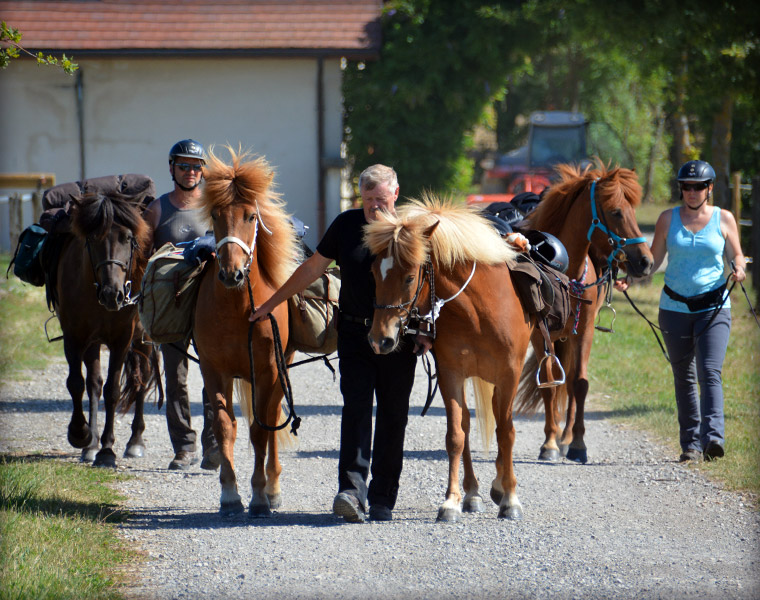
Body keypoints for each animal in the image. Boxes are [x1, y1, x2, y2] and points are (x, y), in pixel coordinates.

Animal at [55, 190, 157, 466]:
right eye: (92, 238)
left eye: (129, 238)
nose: (114, 294)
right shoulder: (75, 338)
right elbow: (78, 383)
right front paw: (81, 434)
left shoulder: (122, 339)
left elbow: (113, 390)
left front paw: (107, 450)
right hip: (93, 343)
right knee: (94, 384)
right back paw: (90, 444)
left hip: (142, 338)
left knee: (142, 378)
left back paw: (136, 441)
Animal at [193, 146, 300, 516]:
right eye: (215, 214)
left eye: (251, 216)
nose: (231, 273)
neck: (238, 310)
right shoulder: (214, 371)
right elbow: (226, 428)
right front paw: (230, 494)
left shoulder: (267, 371)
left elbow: (260, 431)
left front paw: (259, 495)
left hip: (279, 372)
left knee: (272, 417)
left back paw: (274, 487)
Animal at [366, 197, 536, 520]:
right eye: (374, 273)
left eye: (410, 277)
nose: (379, 340)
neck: (478, 311)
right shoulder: (450, 373)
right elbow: (456, 435)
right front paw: (452, 500)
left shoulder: (510, 373)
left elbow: (506, 432)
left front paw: (511, 499)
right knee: (470, 425)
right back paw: (473, 494)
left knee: (501, 423)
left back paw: (500, 486)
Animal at [516, 161, 652, 464]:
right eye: (616, 211)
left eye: (633, 210)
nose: (646, 261)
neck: (565, 277)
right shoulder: (541, 336)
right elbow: (550, 383)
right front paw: (549, 443)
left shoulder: (585, 332)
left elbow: (579, 384)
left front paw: (577, 443)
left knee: (572, 383)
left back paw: (567, 437)